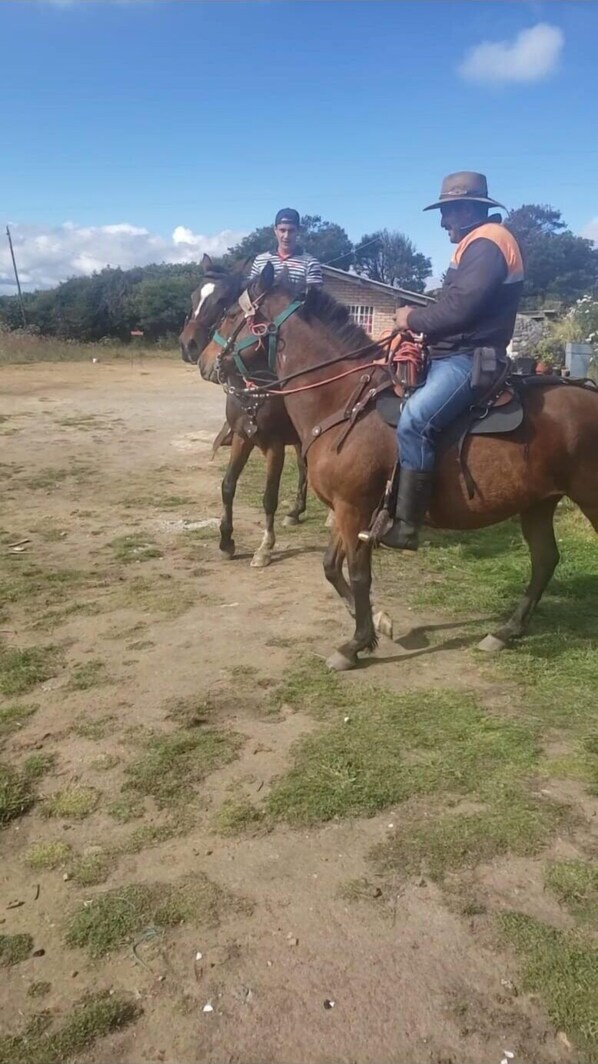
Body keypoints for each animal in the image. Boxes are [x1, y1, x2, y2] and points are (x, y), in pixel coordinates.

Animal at [179, 256, 307, 568]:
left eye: (222, 301)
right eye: (194, 297)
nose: (188, 346)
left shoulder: (275, 445)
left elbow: (269, 496)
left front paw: (265, 548)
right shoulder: (241, 436)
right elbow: (227, 485)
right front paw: (226, 541)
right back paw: (295, 511)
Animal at [196, 262, 598, 671]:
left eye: (230, 315)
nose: (204, 361)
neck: (344, 400)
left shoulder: (354, 509)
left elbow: (359, 575)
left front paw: (356, 643)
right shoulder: (346, 510)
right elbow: (330, 566)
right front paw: (377, 623)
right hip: (538, 504)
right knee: (545, 560)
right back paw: (505, 631)